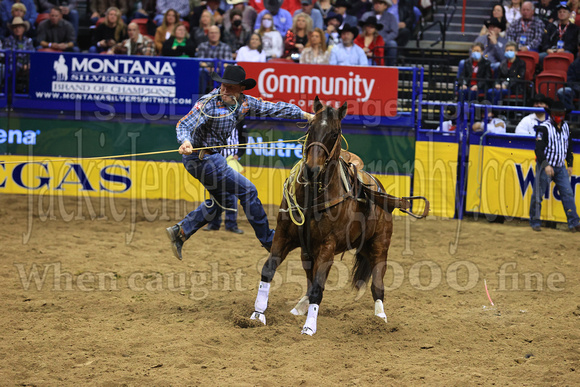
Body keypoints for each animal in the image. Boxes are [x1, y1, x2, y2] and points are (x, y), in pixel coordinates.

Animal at [251, 95, 410, 334]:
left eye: (334, 133)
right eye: (310, 127)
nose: (311, 170)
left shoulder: (328, 245)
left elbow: (319, 287)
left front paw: (309, 327)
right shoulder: (284, 235)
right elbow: (269, 270)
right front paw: (257, 314)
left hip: (379, 244)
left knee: (377, 282)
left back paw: (379, 317)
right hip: (309, 252)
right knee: (310, 279)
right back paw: (300, 306)